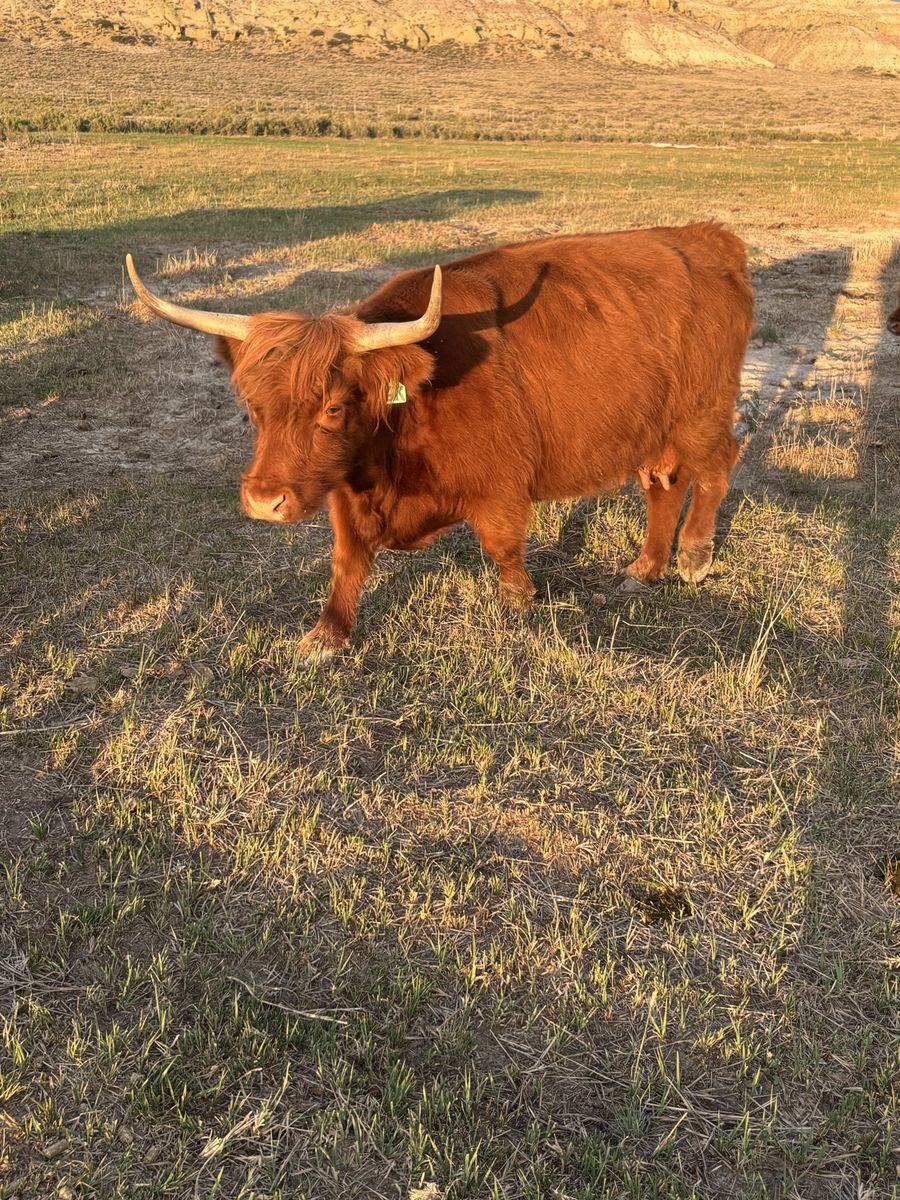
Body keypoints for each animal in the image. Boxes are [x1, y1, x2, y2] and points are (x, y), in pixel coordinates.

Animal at [126, 221, 753, 659]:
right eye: (252, 408)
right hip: (656, 425)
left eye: (332, 407)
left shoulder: (500, 486)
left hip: (701, 411)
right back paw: (645, 568)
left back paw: (693, 556)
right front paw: (326, 635)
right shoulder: (344, 489)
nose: (263, 501)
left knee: (717, 465)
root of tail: (706, 237)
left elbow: (503, 547)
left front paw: (519, 604)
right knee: (663, 482)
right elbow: (346, 560)